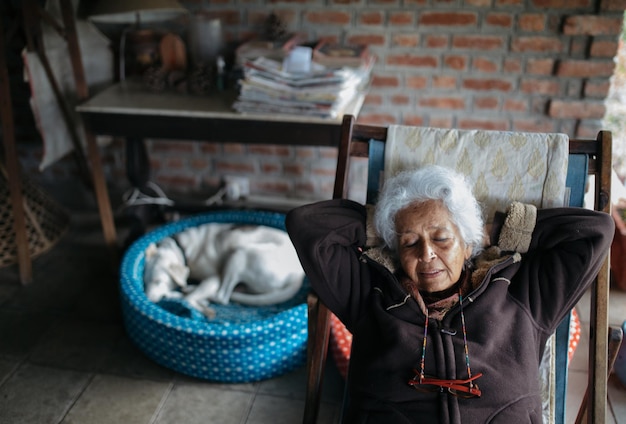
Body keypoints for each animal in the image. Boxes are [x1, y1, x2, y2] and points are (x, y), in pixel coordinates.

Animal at [144, 222, 304, 318]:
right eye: (145, 282)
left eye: (158, 281)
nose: (148, 300)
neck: (182, 249)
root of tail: (298, 274)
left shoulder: (213, 279)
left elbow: (188, 299)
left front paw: (199, 304)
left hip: (238, 255)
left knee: (222, 297)